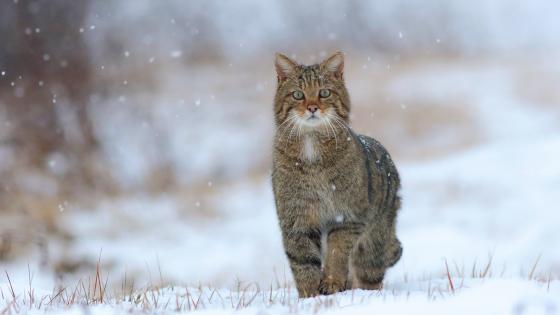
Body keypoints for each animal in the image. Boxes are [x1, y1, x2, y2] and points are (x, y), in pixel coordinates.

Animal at [272, 51, 402, 298]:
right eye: (298, 94)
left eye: (324, 92)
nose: (312, 107)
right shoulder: (296, 218)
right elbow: (303, 261)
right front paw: (310, 295)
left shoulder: (347, 216)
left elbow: (337, 253)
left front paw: (331, 282)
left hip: (372, 246)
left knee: (369, 275)